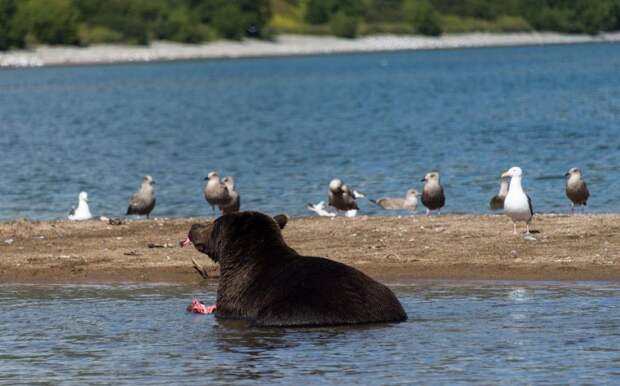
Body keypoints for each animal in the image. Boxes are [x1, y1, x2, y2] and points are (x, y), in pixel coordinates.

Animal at [182, 211, 410, 326]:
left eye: (214, 222)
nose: (193, 227)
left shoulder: (240, 290)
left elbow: (226, 307)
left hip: (303, 308)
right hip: (383, 297)